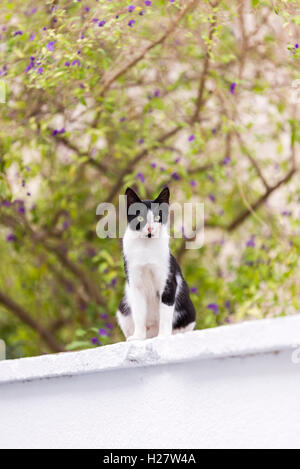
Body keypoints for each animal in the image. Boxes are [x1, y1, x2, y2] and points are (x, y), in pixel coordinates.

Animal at [116, 185, 196, 342]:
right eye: (140, 218)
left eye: (158, 217)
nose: (150, 229)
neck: (146, 248)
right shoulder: (135, 284)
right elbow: (139, 314)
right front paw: (138, 337)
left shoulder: (168, 282)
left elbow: (165, 313)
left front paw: (163, 336)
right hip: (123, 309)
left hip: (188, 312)